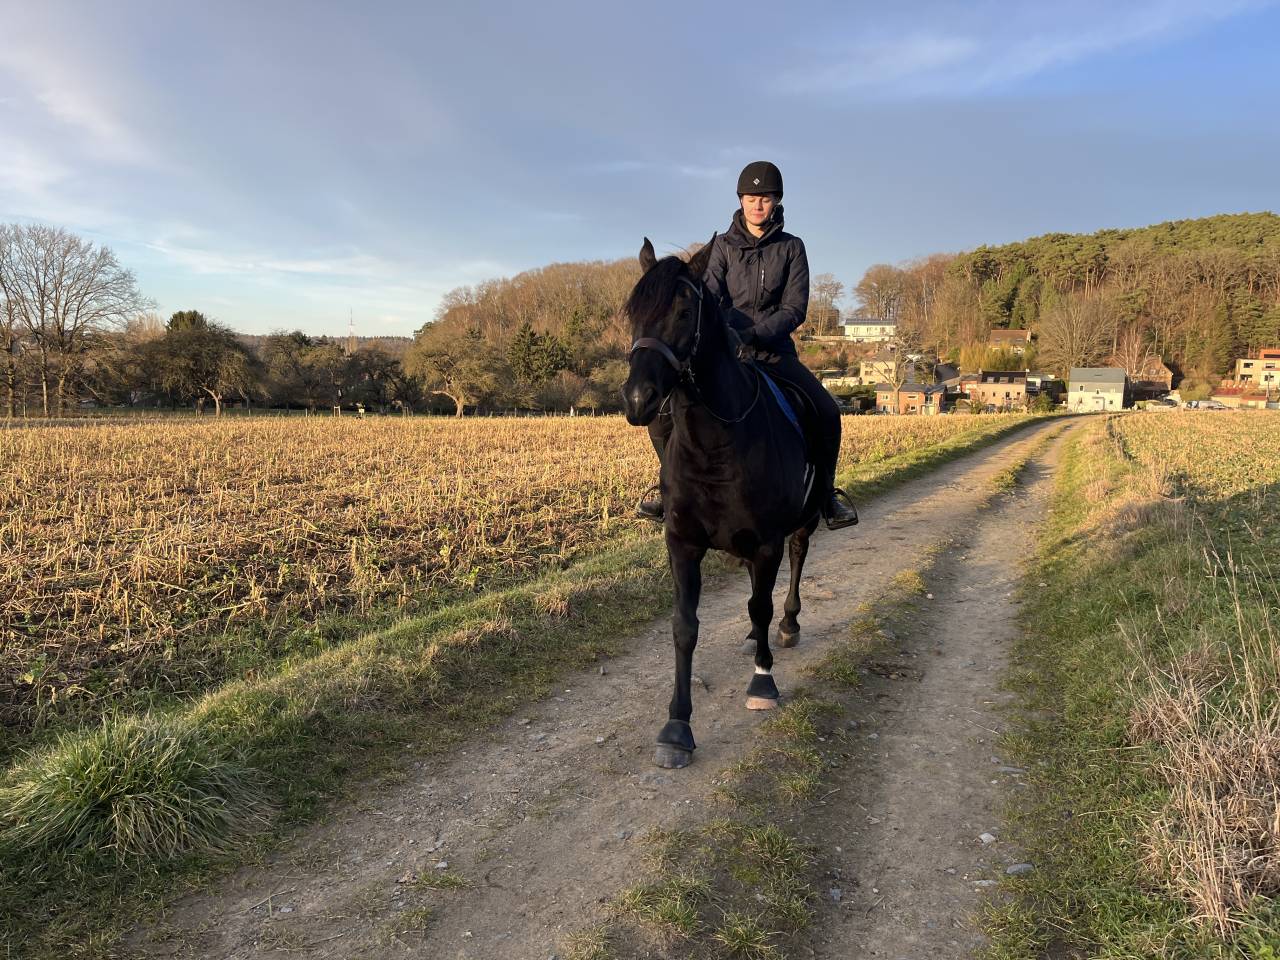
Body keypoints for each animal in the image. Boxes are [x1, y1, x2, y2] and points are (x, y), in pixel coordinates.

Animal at [622, 237, 823, 769]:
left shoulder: (768, 541)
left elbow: (760, 605)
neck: (715, 441)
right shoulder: (682, 544)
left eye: (684, 310)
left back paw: (788, 625)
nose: (637, 399)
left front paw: (763, 681)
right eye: (633, 314)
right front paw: (677, 726)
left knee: (795, 563)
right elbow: (684, 626)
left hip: (804, 521)